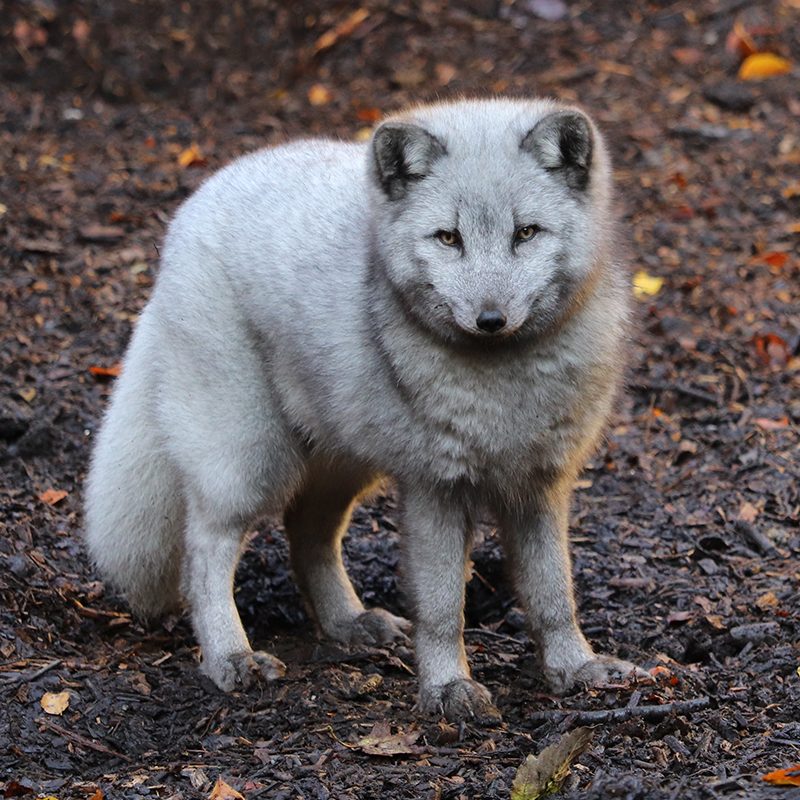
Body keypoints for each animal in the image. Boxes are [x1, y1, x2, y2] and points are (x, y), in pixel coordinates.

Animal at [86, 97, 648, 720]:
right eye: (448, 238)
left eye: (526, 233)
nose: (490, 319)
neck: (504, 388)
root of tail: (194, 203)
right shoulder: (435, 487)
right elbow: (442, 607)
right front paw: (447, 688)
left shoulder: (540, 486)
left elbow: (554, 595)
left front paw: (575, 669)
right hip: (249, 461)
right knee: (204, 550)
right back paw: (230, 656)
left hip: (345, 460)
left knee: (306, 532)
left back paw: (347, 623)